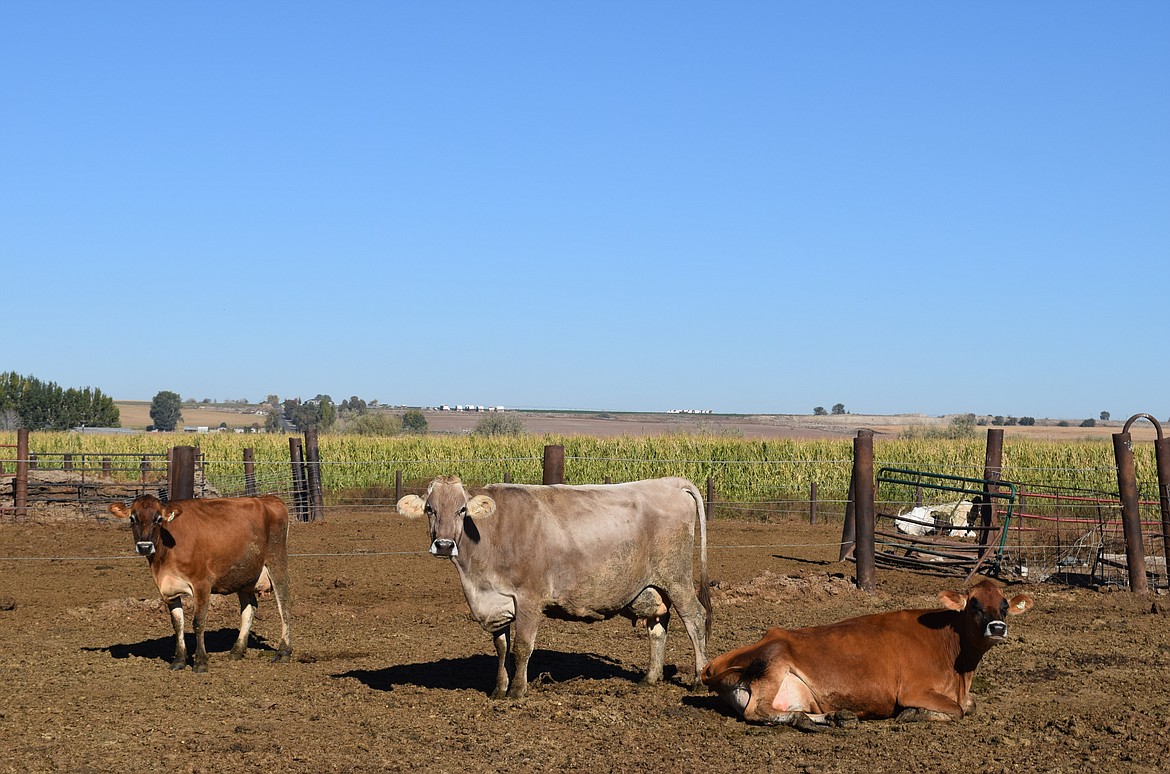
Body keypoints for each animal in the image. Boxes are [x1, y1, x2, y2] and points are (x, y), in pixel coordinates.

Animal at [108, 498, 292, 673]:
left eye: (158, 519)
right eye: (132, 518)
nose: (144, 546)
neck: (165, 557)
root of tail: (269, 499)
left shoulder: (202, 585)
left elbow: (198, 622)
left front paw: (201, 662)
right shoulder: (168, 590)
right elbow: (178, 624)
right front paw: (179, 660)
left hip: (277, 562)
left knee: (284, 606)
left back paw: (283, 652)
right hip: (244, 575)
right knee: (249, 609)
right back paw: (237, 651)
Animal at [397, 477, 711, 701]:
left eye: (462, 510)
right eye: (430, 509)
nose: (444, 545)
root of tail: (670, 482)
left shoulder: (529, 599)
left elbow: (522, 647)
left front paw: (517, 691)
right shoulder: (496, 602)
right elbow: (501, 648)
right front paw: (499, 689)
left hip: (677, 579)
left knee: (695, 619)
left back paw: (699, 679)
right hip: (652, 588)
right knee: (658, 625)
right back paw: (650, 677)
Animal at [697, 582, 1029, 734]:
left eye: (1004, 606)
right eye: (974, 604)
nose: (997, 627)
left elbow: (970, 705)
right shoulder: (913, 690)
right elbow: (958, 710)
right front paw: (913, 714)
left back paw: (834, 716)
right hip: (773, 659)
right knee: (757, 711)